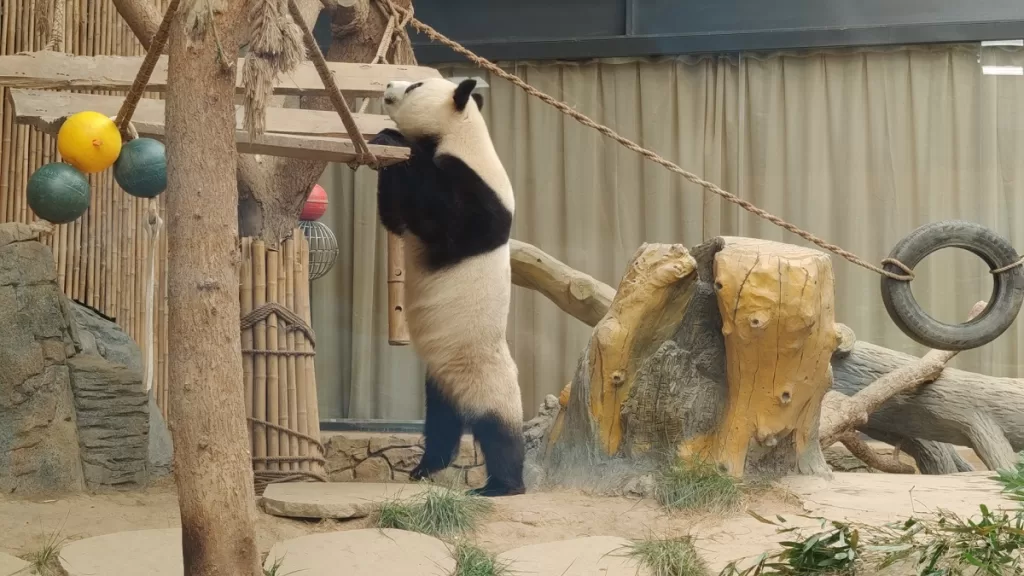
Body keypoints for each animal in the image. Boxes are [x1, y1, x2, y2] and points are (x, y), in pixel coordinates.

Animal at [368, 77, 525, 497]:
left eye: (415, 84)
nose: (389, 83)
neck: (462, 133)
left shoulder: (481, 197)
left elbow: (441, 216)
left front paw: (390, 136)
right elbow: (395, 218)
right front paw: (387, 143)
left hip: (482, 374)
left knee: (498, 429)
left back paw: (502, 485)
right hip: (440, 379)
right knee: (441, 423)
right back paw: (426, 467)